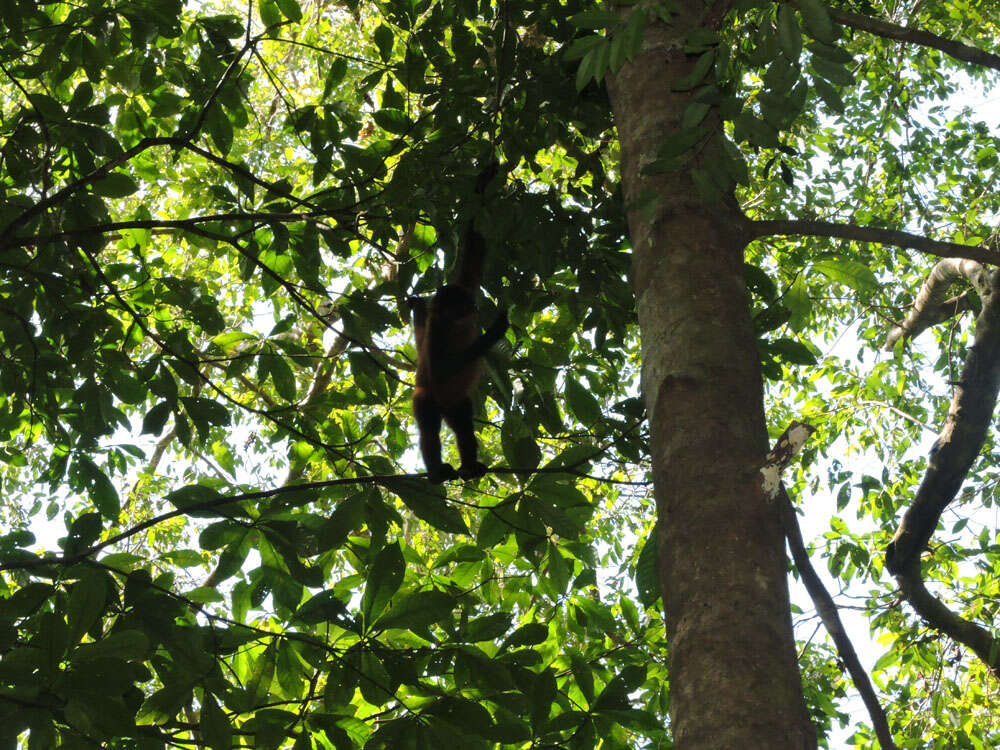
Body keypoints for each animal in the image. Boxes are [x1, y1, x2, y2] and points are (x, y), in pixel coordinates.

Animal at [408, 162, 508, 484]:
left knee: (463, 427)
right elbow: (442, 368)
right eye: (460, 305)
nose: (475, 307)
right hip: (426, 397)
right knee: (429, 428)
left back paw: (469, 466)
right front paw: (493, 334)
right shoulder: (437, 332)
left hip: (457, 404)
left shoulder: (464, 284)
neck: (453, 323)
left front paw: (485, 179)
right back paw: (437, 471)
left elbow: (474, 247)